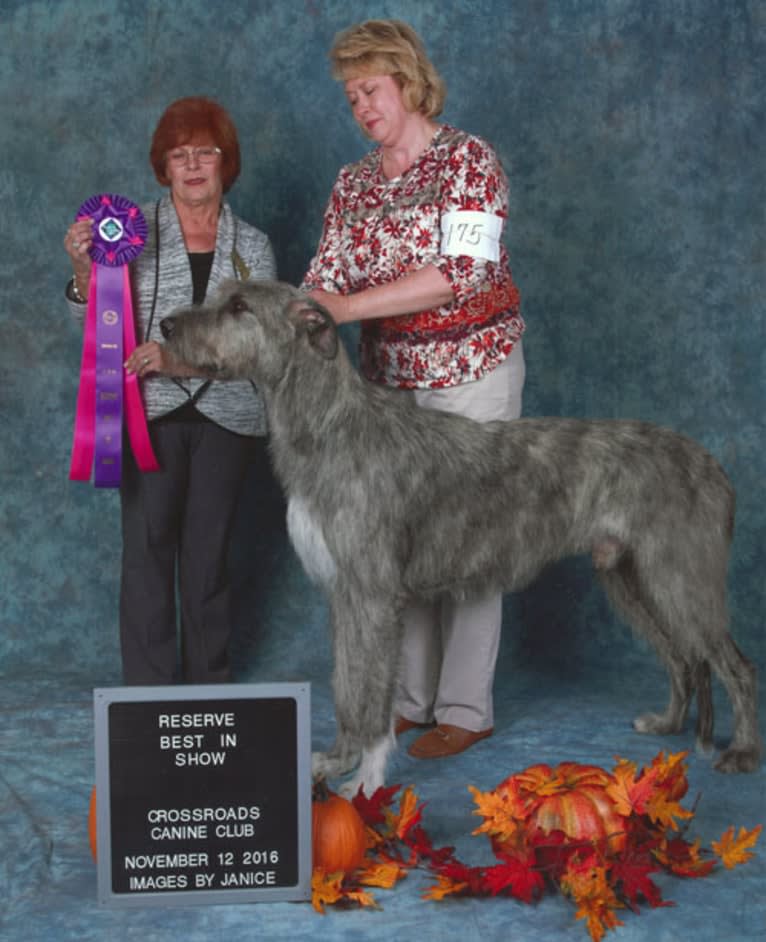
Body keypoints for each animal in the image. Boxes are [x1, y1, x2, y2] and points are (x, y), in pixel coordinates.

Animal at [160, 280, 760, 796]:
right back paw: (668, 723)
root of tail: (714, 466)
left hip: (680, 575)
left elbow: (372, 695)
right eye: (219, 296)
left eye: (239, 307)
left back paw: (743, 752)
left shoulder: (374, 596)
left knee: (733, 663)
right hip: (629, 576)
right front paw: (335, 759)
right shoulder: (343, 595)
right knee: (681, 659)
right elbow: (347, 685)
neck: (329, 426)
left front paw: (367, 781)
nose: (165, 324)